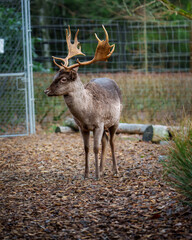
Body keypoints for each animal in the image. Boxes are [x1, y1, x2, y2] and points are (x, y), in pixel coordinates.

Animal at [44, 25, 121, 180]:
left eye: (63, 79)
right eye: (55, 76)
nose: (46, 91)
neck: (87, 112)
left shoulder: (99, 123)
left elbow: (95, 148)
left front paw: (95, 175)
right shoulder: (82, 127)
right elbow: (86, 148)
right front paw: (86, 174)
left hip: (115, 120)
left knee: (112, 141)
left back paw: (115, 171)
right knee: (105, 141)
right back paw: (102, 170)